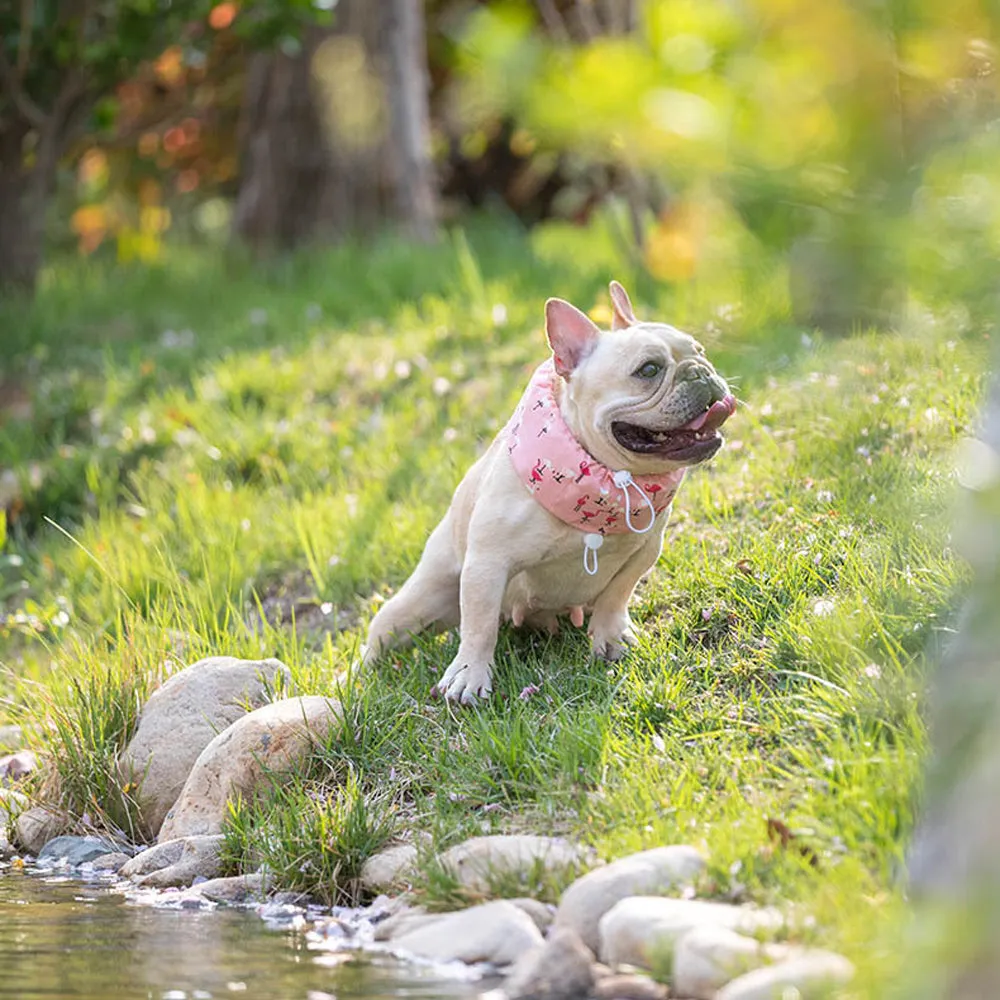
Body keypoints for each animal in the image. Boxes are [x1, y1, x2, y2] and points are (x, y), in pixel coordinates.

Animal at [360, 282, 736, 704]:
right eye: (649, 370)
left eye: (700, 351)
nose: (700, 371)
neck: (605, 482)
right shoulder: (486, 565)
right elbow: (478, 625)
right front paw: (470, 675)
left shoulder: (643, 551)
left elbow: (617, 594)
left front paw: (610, 638)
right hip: (416, 603)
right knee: (385, 635)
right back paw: (356, 678)